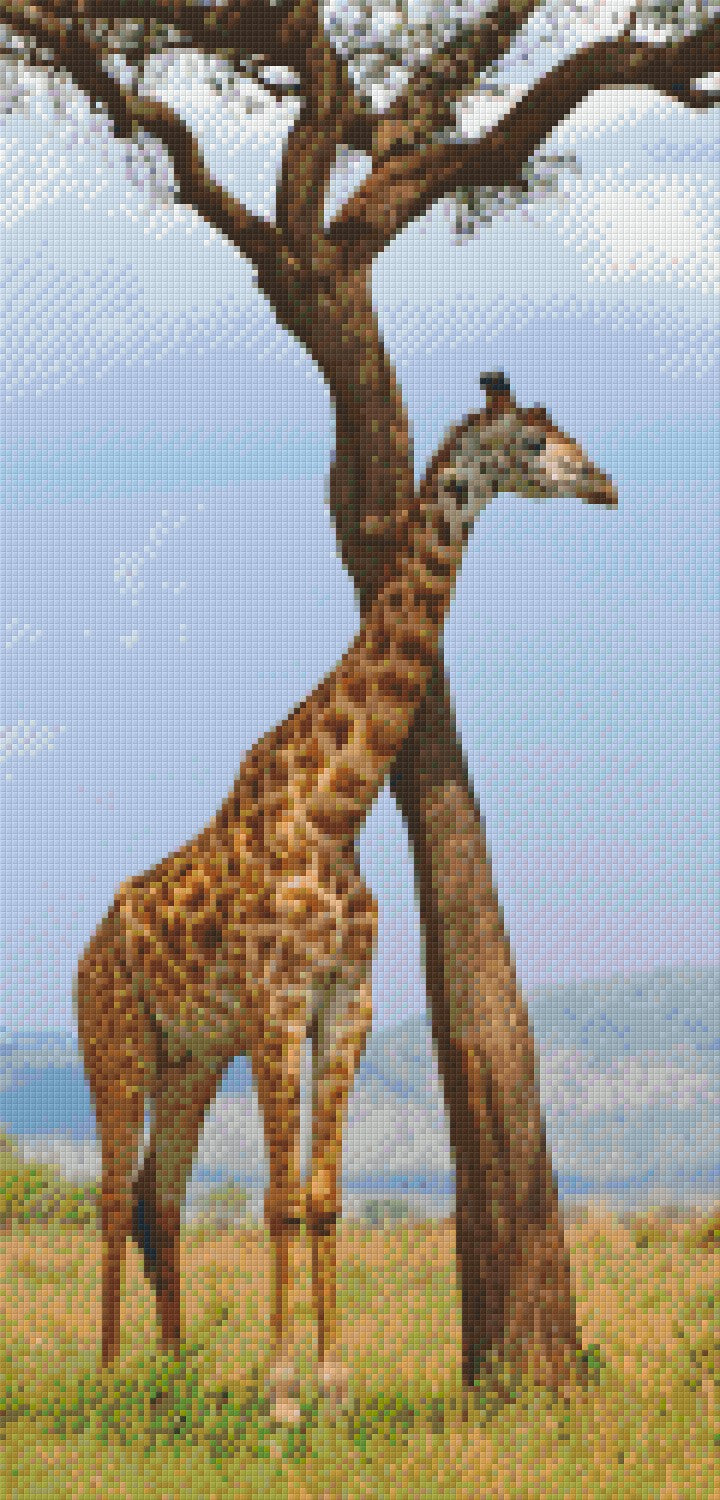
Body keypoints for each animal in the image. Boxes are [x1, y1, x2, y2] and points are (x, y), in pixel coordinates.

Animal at [74, 374, 616, 1422]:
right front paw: (281, 1397)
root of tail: (80, 957)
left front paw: (333, 1391)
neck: (334, 807)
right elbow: (283, 1196)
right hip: (113, 1040)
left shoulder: (344, 1002)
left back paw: (171, 1378)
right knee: (115, 1195)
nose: (605, 484)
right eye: (534, 443)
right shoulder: (278, 1006)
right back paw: (114, 1380)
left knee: (161, 1200)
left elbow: (323, 1195)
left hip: (189, 1057)